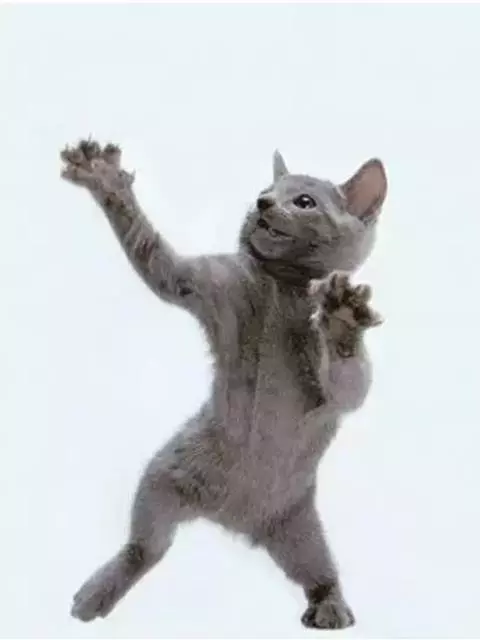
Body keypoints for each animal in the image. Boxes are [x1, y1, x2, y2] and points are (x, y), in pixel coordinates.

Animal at [60, 140, 386, 630]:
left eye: (304, 201)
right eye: (266, 189)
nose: (263, 203)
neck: (281, 287)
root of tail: (236, 521)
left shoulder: (332, 390)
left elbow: (351, 388)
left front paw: (343, 319)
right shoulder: (211, 285)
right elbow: (159, 262)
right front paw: (104, 177)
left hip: (302, 529)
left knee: (321, 573)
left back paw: (330, 608)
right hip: (164, 476)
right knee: (145, 546)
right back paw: (97, 593)